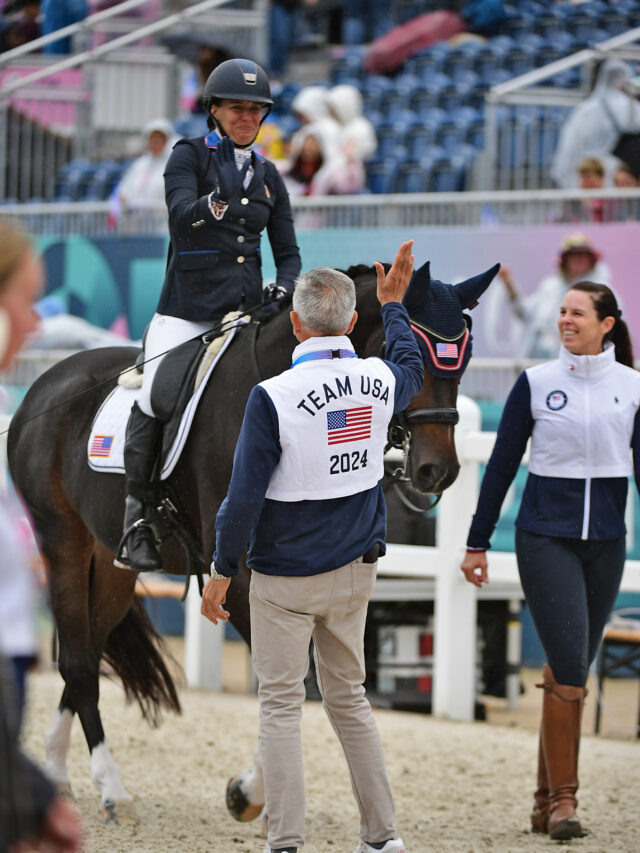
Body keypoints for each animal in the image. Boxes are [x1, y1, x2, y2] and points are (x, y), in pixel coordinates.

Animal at [7, 258, 498, 820]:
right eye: (410, 351)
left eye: (464, 358)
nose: (438, 472)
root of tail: (45, 385)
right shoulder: (240, 572)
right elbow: (282, 679)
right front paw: (251, 790)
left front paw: (254, 791)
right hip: (61, 540)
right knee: (78, 660)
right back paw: (110, 789)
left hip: (109, 562)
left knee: (86, 651)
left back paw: (58, 770)